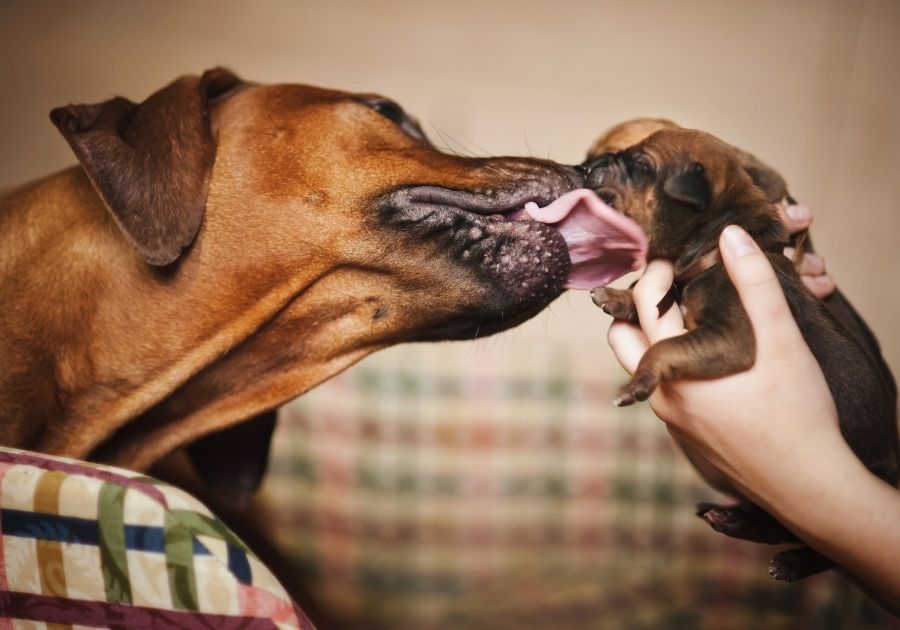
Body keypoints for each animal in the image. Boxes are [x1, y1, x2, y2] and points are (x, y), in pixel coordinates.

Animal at [580, 128, 896, 584]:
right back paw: (730, 519)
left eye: (640, 166)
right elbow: (656, 296)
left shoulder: (734, 334)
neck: (710, 248)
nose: (587, 167)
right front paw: (620, 297)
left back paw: (792, 562)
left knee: (825, 545)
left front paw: (637, 381)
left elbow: (665, 345)